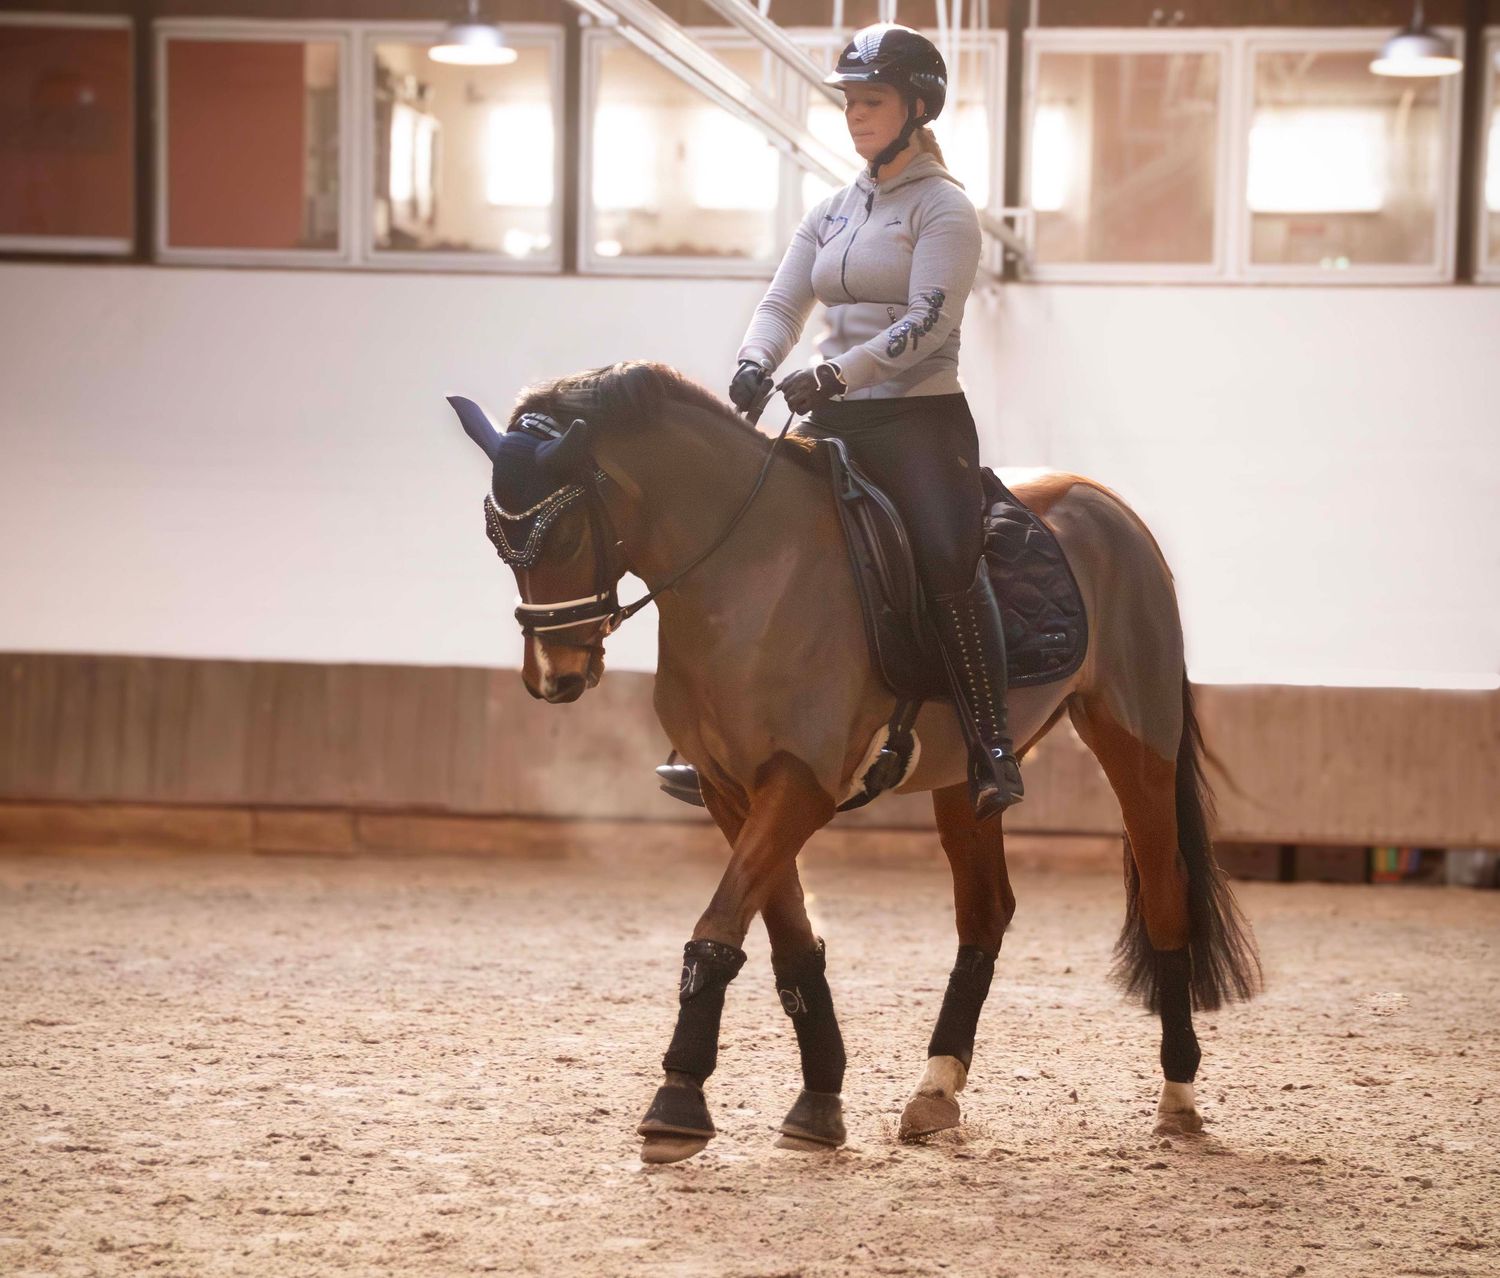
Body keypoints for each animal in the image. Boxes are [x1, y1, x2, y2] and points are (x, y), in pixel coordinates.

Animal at [449, 359, 1261, 1165]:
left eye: (559, 534)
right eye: (497, 539)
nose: (552, 677)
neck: (749, 572)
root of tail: (1110, 507)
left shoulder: (800, 784)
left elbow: (720, 922)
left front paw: (677, 1100)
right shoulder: (728, 790)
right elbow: (788, 942)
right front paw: (818, 1101)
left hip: (1136, 741)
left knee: (1165, 898)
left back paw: (1179, 1099)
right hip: (965, 779)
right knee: (986, 911)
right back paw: (936, 1091)